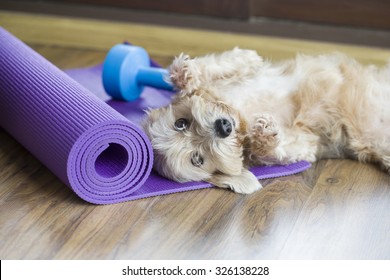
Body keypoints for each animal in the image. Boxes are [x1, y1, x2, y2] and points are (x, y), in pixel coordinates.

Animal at [142, 48, 390, 194]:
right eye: (197, 159)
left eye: (181, 123)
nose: (223, 127)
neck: (241, 115)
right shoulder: (305, 140)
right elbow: (278, 150)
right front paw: (264, 136)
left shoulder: (238, 75)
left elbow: (228, 63)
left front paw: (184, 73)